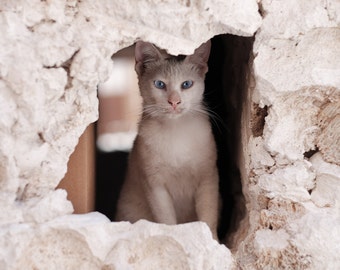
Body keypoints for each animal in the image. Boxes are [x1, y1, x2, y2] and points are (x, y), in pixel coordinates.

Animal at [115, 40, 219, 240]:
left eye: (186, 84)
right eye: (159, 84)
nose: (174, 102)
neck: (175, 132)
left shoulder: (208, 179)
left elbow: (208, 217)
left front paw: (213, 242)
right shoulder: (155, 185)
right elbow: (167, 219)